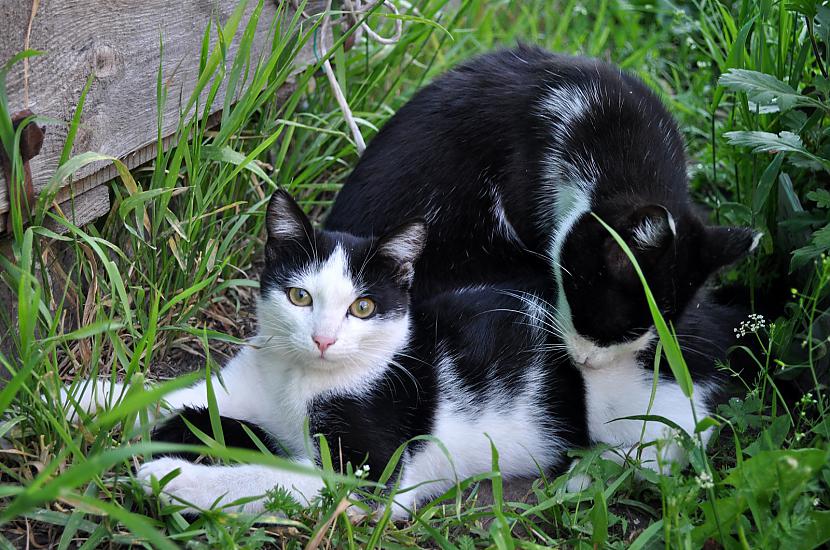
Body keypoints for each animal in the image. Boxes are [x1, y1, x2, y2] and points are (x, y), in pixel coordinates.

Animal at [65, 190, 588, 516]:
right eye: (300, 297)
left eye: (363, 307)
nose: (323, 339)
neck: (296, 379)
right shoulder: (244, 383)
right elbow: (164, 395)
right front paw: (78, 400)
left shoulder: (371, 473)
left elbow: (276, 479)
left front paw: (178, 481)